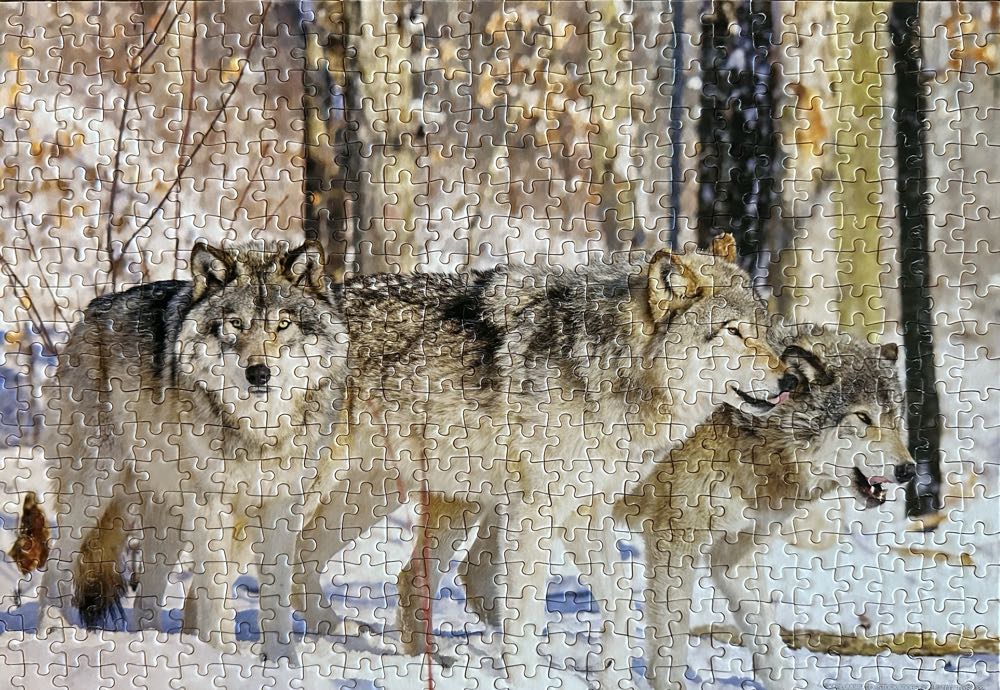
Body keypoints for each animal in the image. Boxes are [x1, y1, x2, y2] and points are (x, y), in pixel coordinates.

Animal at [39, 240, 348, 663]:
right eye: (235, 324)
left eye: (283, 324)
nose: (259, 373)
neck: (257, 428)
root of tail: (91, 313)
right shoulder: (210, 504)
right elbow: (215, 590)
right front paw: (220, 656)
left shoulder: (282, 506)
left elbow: (276, 593)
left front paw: (281, 660)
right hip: (92, 492)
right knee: (56, 562)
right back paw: (50, 634)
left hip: (166, 516)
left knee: (147, 597)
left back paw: (150, 645)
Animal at [294, 235, 795, 687]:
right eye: (734, 331)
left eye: (764, 329)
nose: (789, 379)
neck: (608, 368)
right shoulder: (532, 516)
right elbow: (525, 622)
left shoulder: (585, 513)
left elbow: (619, 602)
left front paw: (614, 677)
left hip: (396, 497)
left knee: (325, 559)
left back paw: (348, 637)